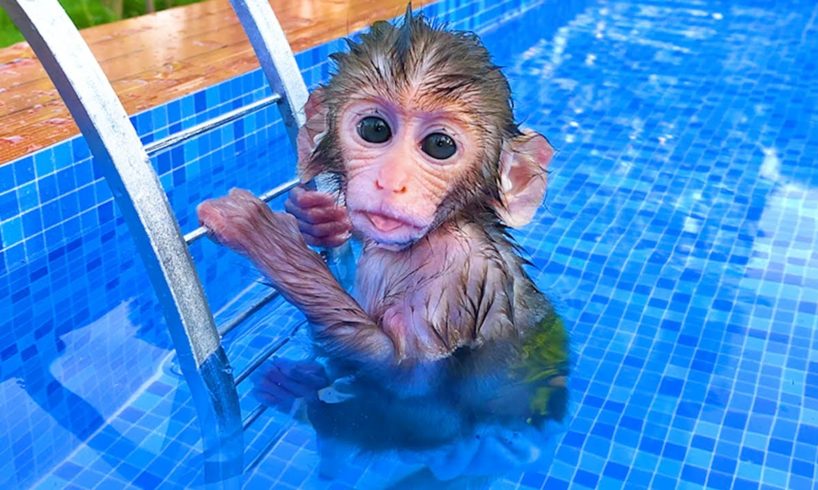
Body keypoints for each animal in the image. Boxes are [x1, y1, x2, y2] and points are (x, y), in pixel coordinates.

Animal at [198, 6, 568, 482]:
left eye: (440, 145)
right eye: (374, 129)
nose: (391, 182)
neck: (438, 231)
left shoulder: (452, 283)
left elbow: (405, 378)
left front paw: (268, 238)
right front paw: (317, 217)